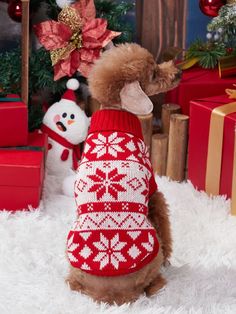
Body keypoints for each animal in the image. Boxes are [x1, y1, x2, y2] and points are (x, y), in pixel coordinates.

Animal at [66, 43, 181, 306]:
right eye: (154, 73)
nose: (178, 73)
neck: (116, 112)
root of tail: (111, 296)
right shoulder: (153, 189)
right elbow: (164, 221)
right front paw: (171, 257)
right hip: (152, 255)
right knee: (151, 280)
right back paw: (159, 283)